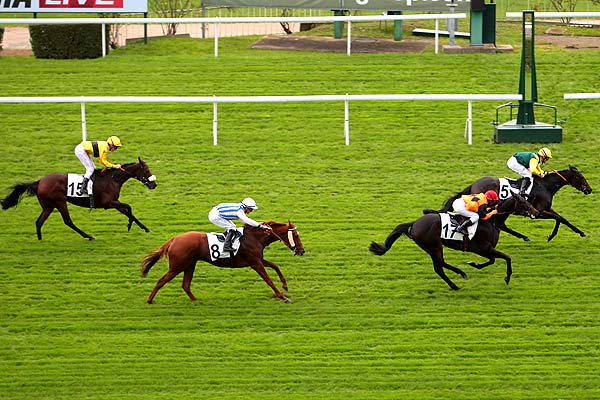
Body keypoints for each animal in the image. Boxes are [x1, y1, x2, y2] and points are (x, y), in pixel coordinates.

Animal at [1, 158, 157, 240]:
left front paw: (144, 227)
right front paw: (131, 224)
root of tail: (40, 181)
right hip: (60, 202)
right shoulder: (108, 203)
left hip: (48, 206)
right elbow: (129, 207)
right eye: (147, 170)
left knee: (39, 222)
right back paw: (88, 236)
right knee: (68, 221)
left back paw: (40, 240)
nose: (154, 184)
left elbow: (128, 210)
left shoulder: (114, 203)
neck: (113, 179)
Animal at [140, 220, 305, 304]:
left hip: (189, 264)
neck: (255, 237)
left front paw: (285, 285)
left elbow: (275, 266)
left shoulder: (258, 259)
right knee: (161, 281)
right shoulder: (255, 263)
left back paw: (196, 301)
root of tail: (174, 239)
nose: (302, 251)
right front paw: (283, 297)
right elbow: (268, 280)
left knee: (185, 285)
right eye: (296, 235)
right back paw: (149, 300)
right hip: (177, 266)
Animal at [369, 197, 537, 291]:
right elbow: (506, 257)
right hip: (434, 245)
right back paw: (455, 284)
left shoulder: (484, 250)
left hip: (432, 247)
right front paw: (507, 278)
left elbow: (492, 260)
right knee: (439, 267)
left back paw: (461, 274)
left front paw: (474, 264)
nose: (536, 211)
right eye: (523, 202)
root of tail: (415, 223)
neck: (490, 221)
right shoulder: (483, 248)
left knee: (441, 264)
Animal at [438, 166, 592, 242]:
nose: (589, 189)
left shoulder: (547, 209)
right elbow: (558, 218)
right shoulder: (539, 212)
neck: (545, 186)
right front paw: (551, 236)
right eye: (580, 177)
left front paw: (582, 233)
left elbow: (563, 219)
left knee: (501, 225)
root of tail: (474, 184)